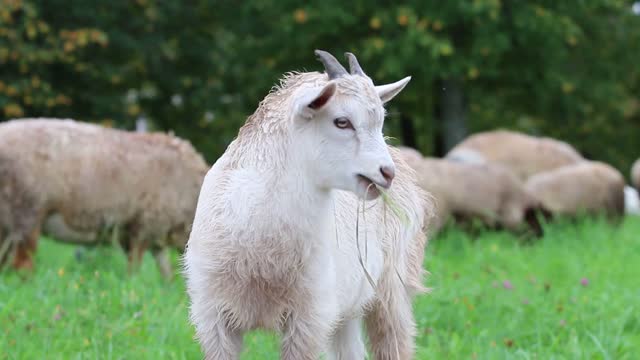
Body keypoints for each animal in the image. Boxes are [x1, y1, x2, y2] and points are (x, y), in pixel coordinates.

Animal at [0, 119, 209, 278]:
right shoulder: (142, 226)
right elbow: (134, 269)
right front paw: (132, 284)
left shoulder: (155, 232)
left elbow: (167, 273)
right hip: (26, 211)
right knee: (22, 265)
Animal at [181, 50, 430, 360]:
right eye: (342, 121)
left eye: (381, 121)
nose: (386, 173)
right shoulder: (212, 318)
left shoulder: (309, 317)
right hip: (346, 307)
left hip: (392, 288)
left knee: (394, 341)